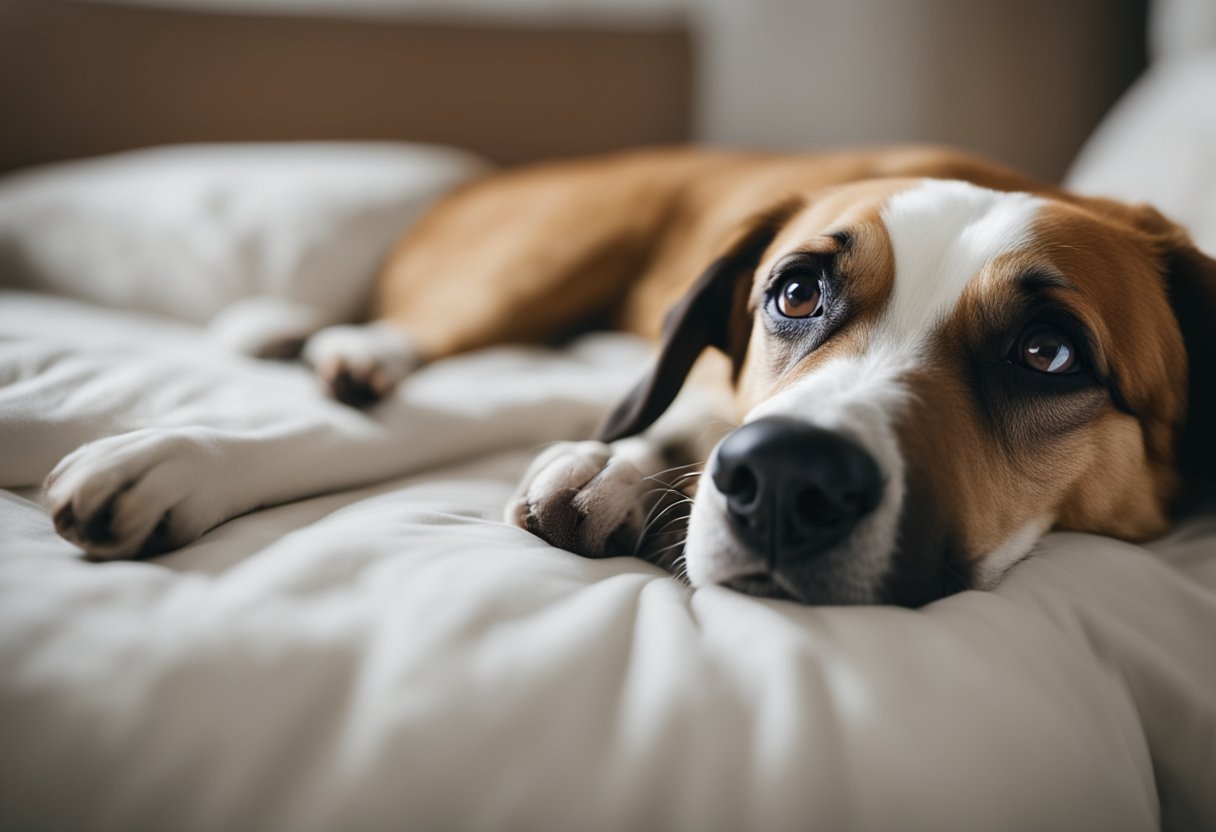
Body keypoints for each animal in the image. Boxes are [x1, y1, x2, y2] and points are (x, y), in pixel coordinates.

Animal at [44, 147, 1216, 603]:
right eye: (796, 293)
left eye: (1047, 354)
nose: (787, 477)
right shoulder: (595, 372)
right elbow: (378, 429)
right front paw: (171, 458)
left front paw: (624, 471)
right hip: (537, 265)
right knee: (420, 334)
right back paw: (344, 347)